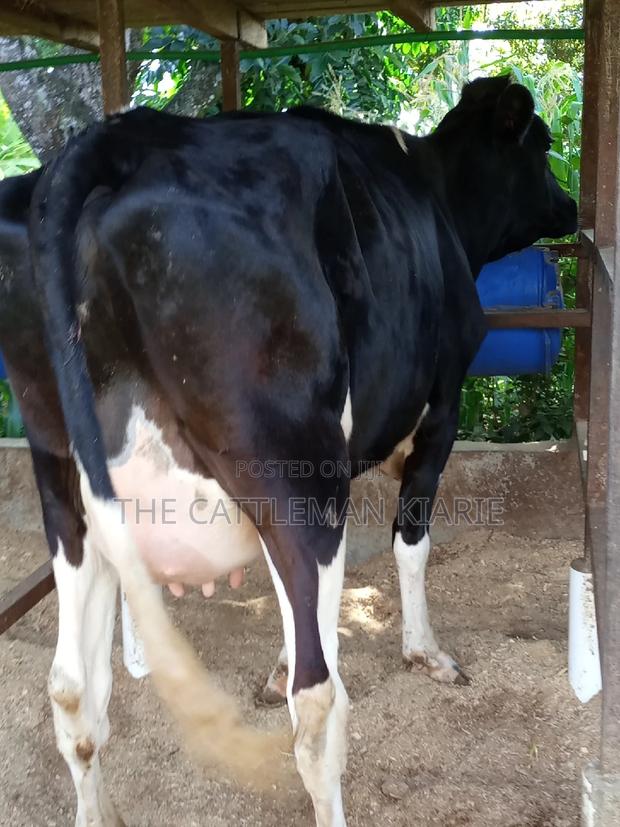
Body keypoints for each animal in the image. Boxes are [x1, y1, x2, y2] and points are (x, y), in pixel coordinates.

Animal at [0, 75, 577, 827]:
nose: (572, 205)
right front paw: (425, 652)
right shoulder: (441, 411)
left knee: (73, 690)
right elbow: (410, 543)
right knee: (318, 703)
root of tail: (117, 137)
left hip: (65, 486)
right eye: (541, 145)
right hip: (298, 477)